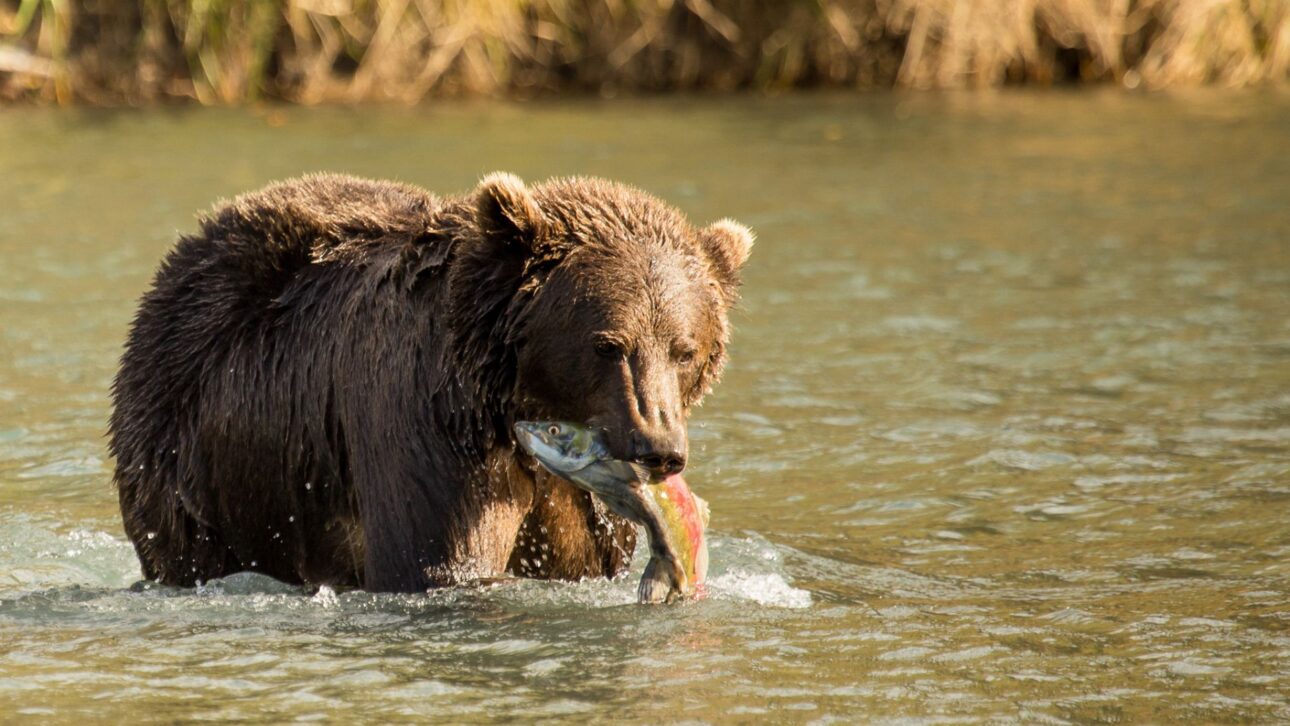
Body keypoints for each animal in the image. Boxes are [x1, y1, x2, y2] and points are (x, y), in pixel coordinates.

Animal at [108, 172, 753, 592]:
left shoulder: (579, 499)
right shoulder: (425, 422)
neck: (504, 396)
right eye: (608, 344)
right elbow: (434, 557)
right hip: (195, 457)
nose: (658, 447)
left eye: (684, 350)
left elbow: (584, 559)